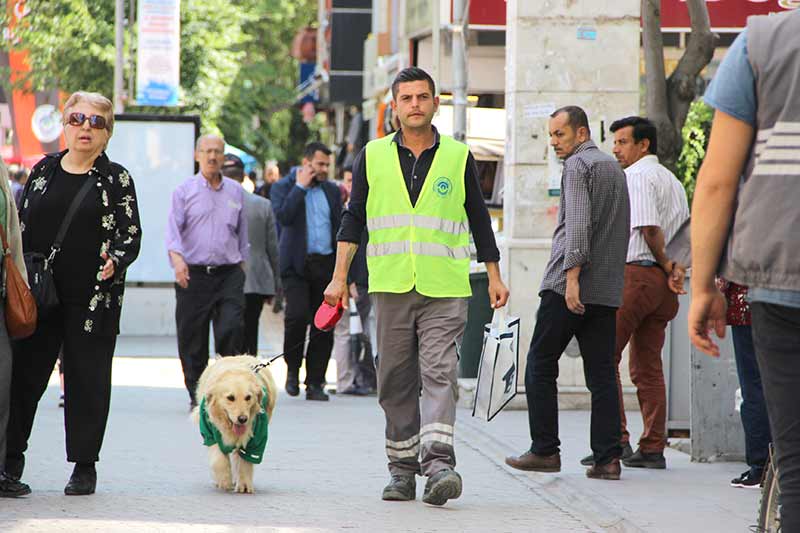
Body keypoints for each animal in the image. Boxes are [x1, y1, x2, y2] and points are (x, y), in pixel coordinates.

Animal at [191, 356, 276, 492]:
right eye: (230, 398)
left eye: (248, 397)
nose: (242, 419)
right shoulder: (209, 433)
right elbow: (218, 460)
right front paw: (224, 481)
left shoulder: (257, 437)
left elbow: (245, 461)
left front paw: (244, 485)